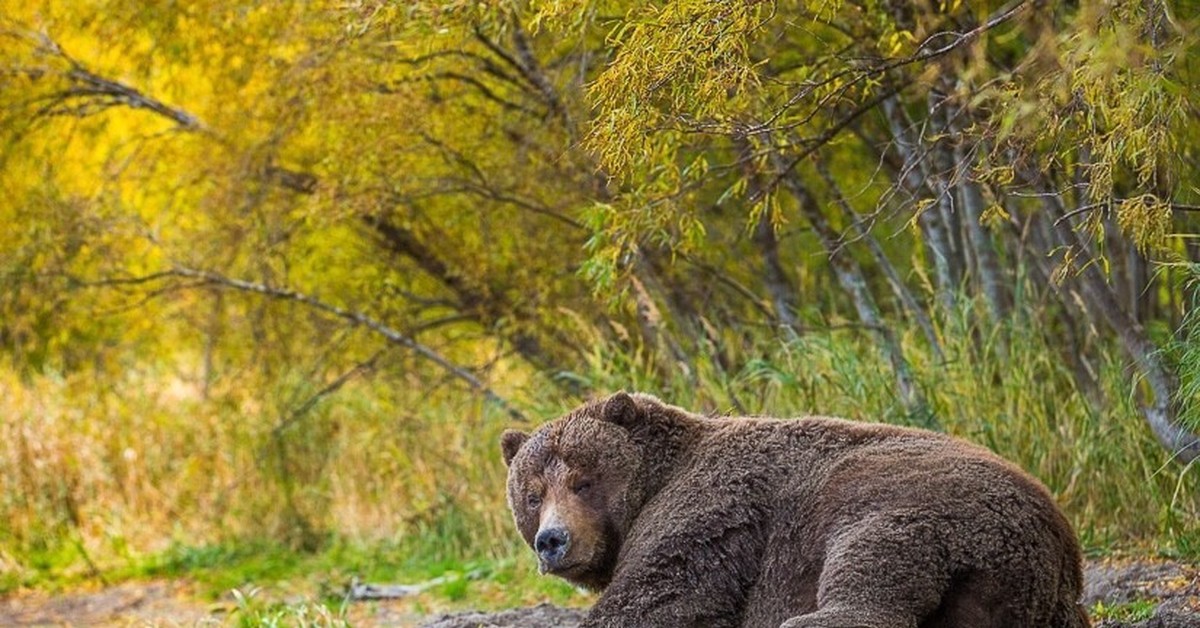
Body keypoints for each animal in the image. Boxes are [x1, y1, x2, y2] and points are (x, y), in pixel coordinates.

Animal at [496, 391, 1089, 624]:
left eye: (583, 481)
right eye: (532, 494)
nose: (552, 540)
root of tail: (1054, 528)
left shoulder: (708, 514)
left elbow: (656, 598)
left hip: (904, 494)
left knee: (873, 551)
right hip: (1044, 598)